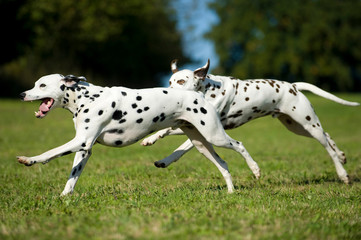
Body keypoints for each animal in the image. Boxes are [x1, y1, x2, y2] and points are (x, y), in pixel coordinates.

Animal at [17, 73, 264, 195]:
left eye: (41, 85)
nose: (21, 94)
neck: (88, 97)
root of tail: (197, 95)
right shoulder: (84, 149)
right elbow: (72, 178)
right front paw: (64, 197)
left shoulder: (80, 141)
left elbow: (49, 153)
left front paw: (29, 159)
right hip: (202, 144)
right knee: (223, 164)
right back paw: (231, 190)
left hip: (215, 137)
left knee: (240, 145)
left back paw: (255, 170)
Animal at [142, 60, 358, 184]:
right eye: (170, 81)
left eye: (181, 81)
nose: (166, 92)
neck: (208, 89)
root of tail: (293, 86)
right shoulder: (190, 125)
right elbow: (171, 136)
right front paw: (154, 144)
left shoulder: (208, 129)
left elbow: (180, 143)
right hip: (298, 126)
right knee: (327, 135)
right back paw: (342, 155)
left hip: (307, 125)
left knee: (327, 147)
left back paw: (342, 172)